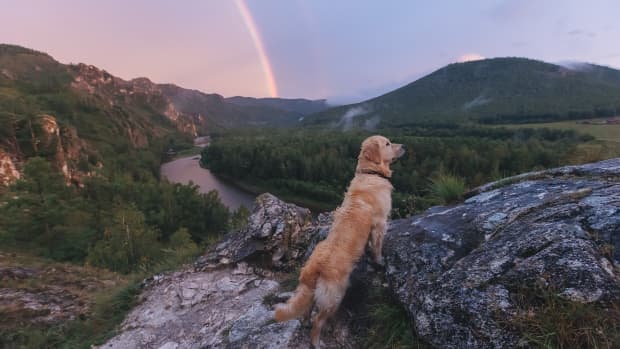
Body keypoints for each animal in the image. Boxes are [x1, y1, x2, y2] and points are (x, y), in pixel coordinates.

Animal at [274, 134, 404, 346]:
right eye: (387, 143)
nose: (404, 146)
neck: (371, 173)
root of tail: (314, 267)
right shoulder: (379, 224)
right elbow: (377, 248)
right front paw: (380, 262)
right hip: (334, 296)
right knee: (318, 321)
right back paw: (316, 342)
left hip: (311, 292)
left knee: (306, 311)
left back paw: (305, 323)